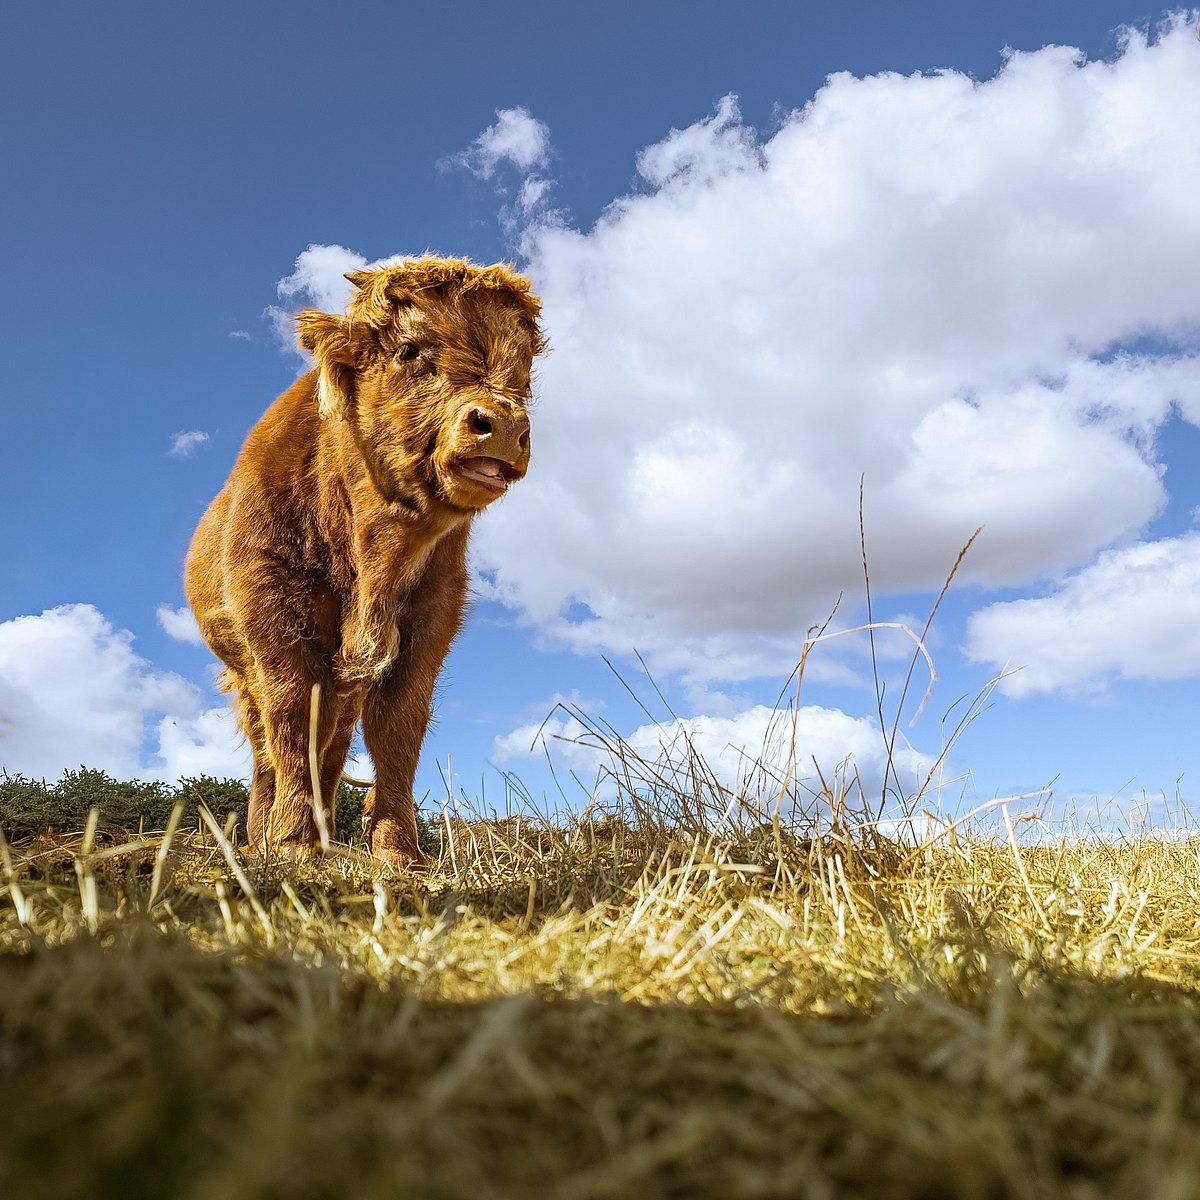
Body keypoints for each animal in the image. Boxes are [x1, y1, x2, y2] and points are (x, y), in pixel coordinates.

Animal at [185, 257, 545, 864]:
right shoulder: (273, 616)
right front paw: (291, 843)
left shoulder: (430, 616)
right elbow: (293, 719)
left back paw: (324, 832)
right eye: (410, 350)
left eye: (525, 372)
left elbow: (396, 725)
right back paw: (265, 837)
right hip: (244, 670)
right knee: (269, 747)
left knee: (333, 742)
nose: (503, 426)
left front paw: (397, 850)